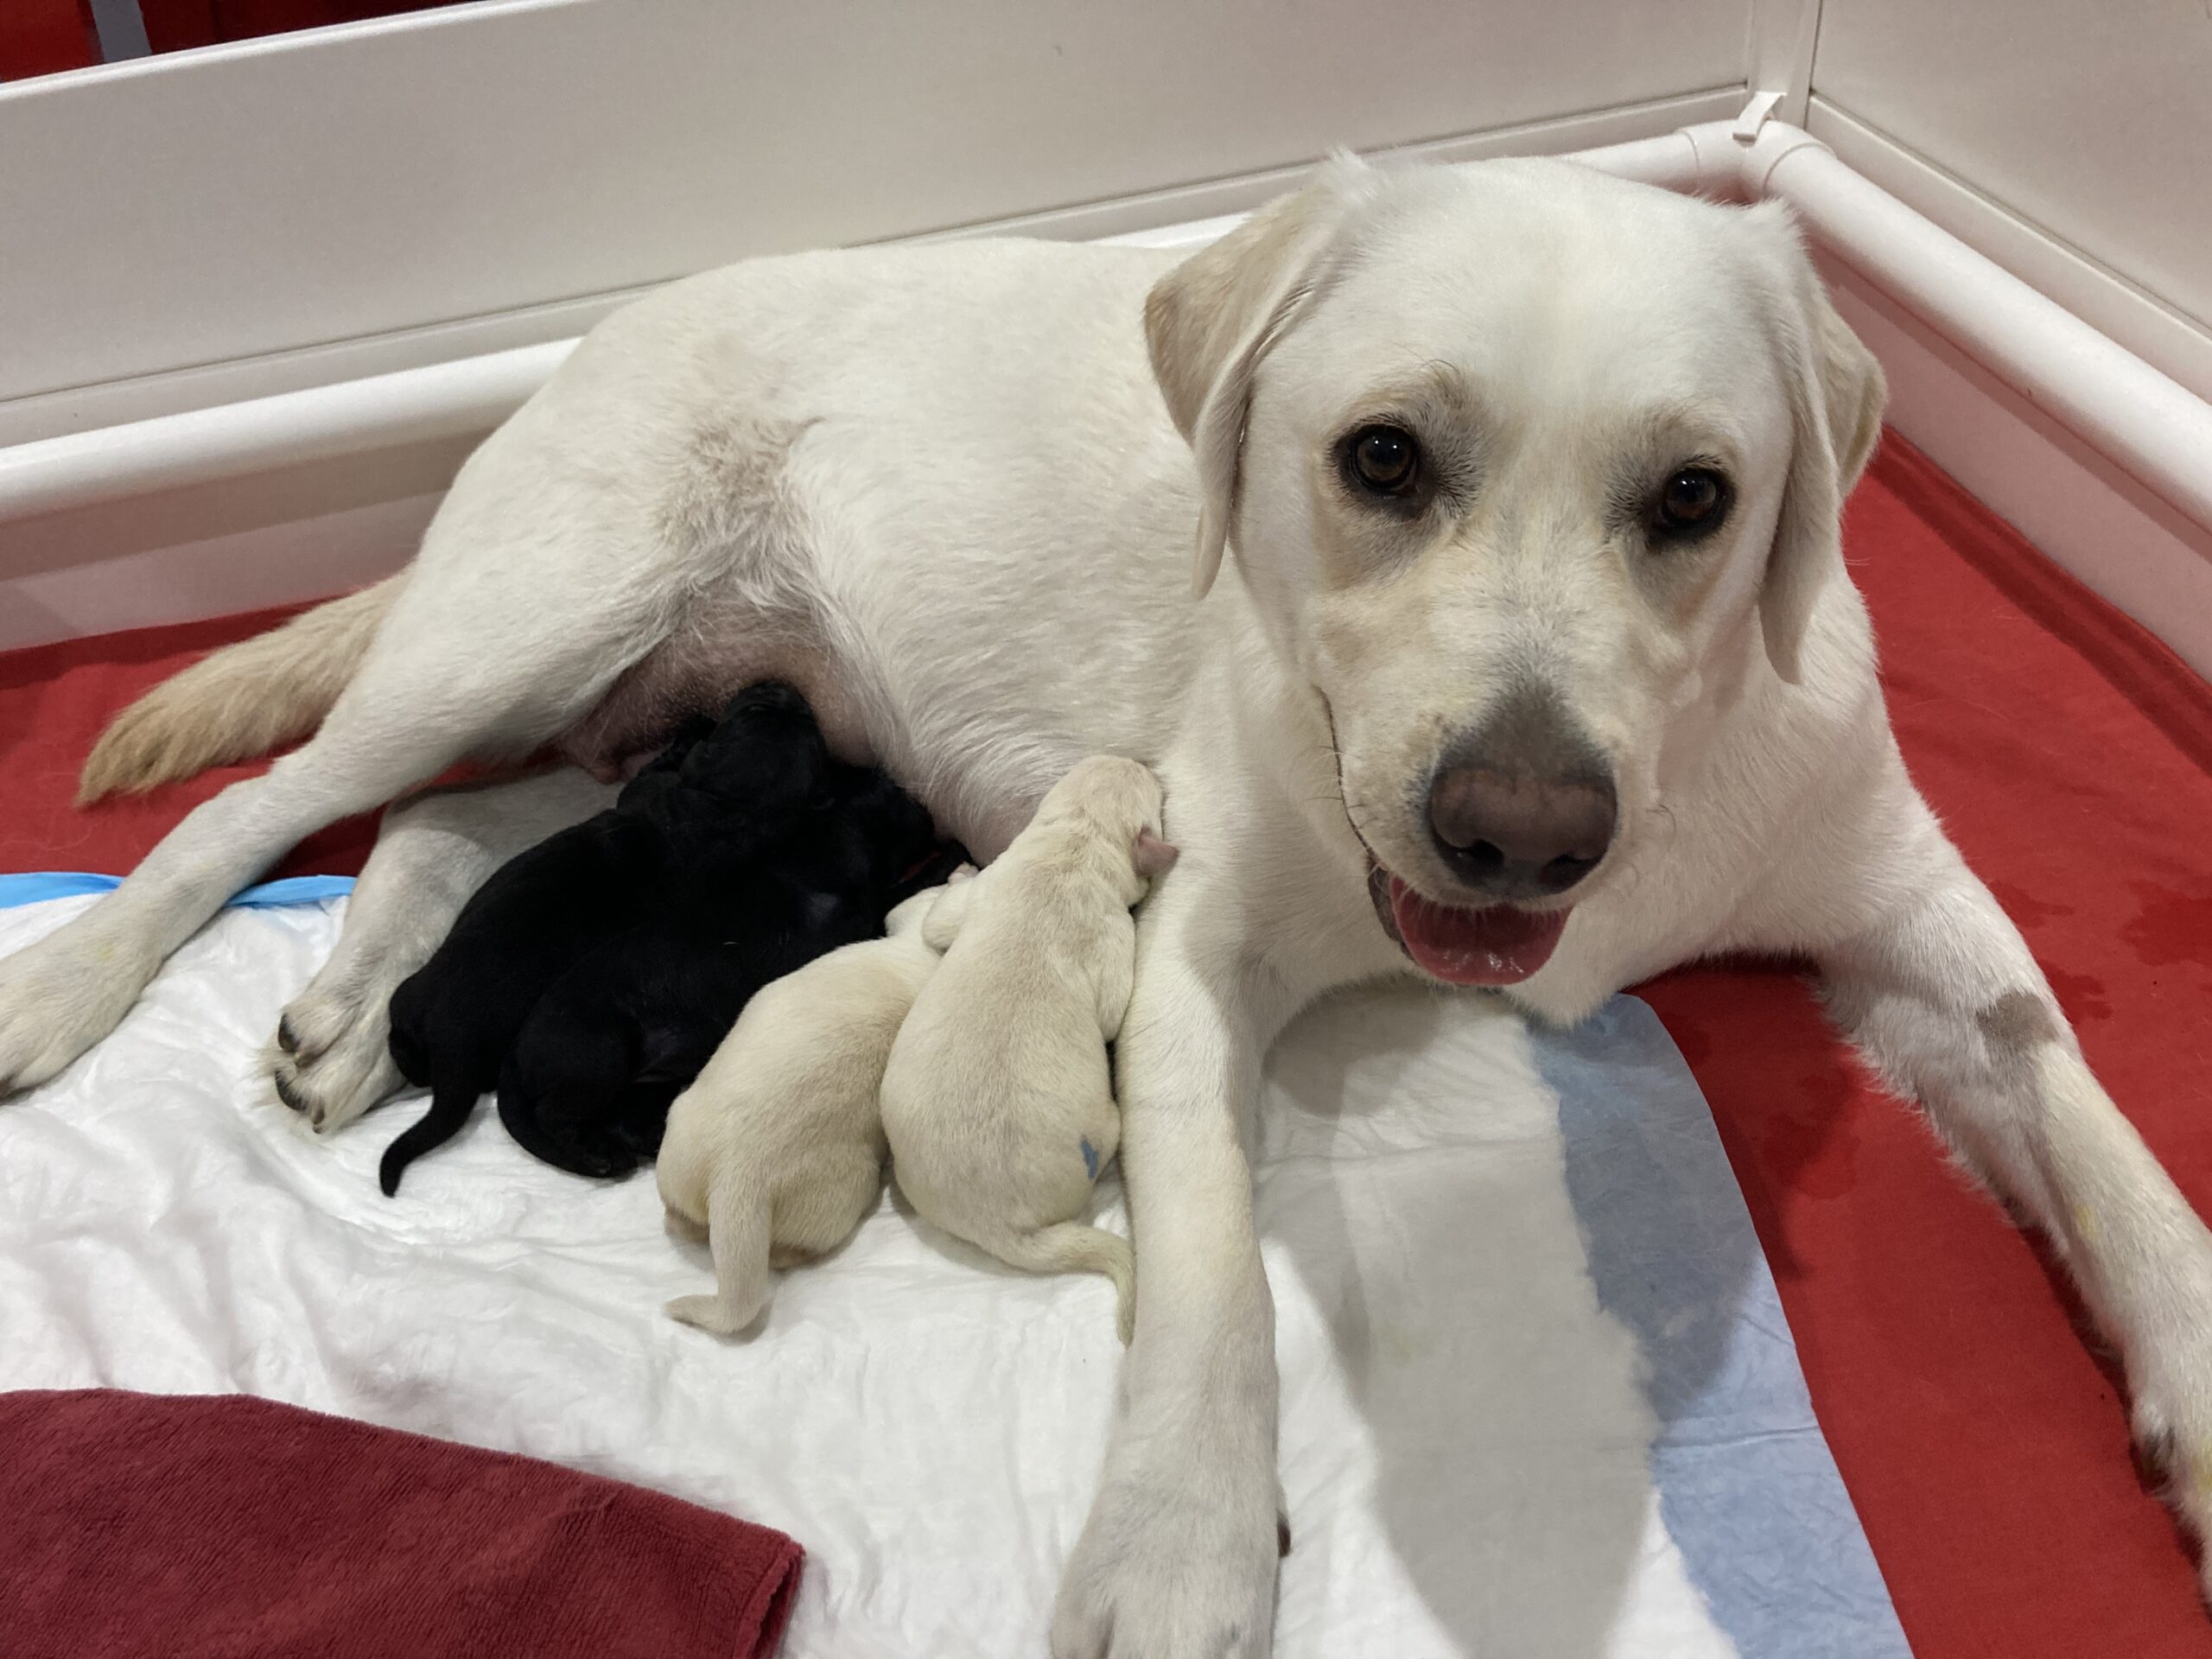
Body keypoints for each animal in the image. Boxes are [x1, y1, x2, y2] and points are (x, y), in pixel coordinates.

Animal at [376, 681, 831, 1203]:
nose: (780, 684)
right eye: (765, 710)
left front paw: (686, 733)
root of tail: (455, 1040)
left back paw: (599, 1154)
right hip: (410, 1001)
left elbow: (655, 773)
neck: (728, 819)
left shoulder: (649, 792)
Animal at [498, 765, 955, 1185]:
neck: (816, 845)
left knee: (623, 1117)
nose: (928, 811)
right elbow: (905, 885)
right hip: (600, 1055)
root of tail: (515, 1054)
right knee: (556, 1114)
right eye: (892, 791)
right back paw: (600, 1154)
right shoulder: (862, 914)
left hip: (652, 1074)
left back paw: (649, 1139)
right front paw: (952, 851)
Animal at [875, 760, 1176, 1344]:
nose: (1137, 761)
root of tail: (1006, 1229)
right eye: (1149, 790)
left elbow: (940, 922)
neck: (1076, 841)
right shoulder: (1111, 937)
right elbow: (1111, 1009)